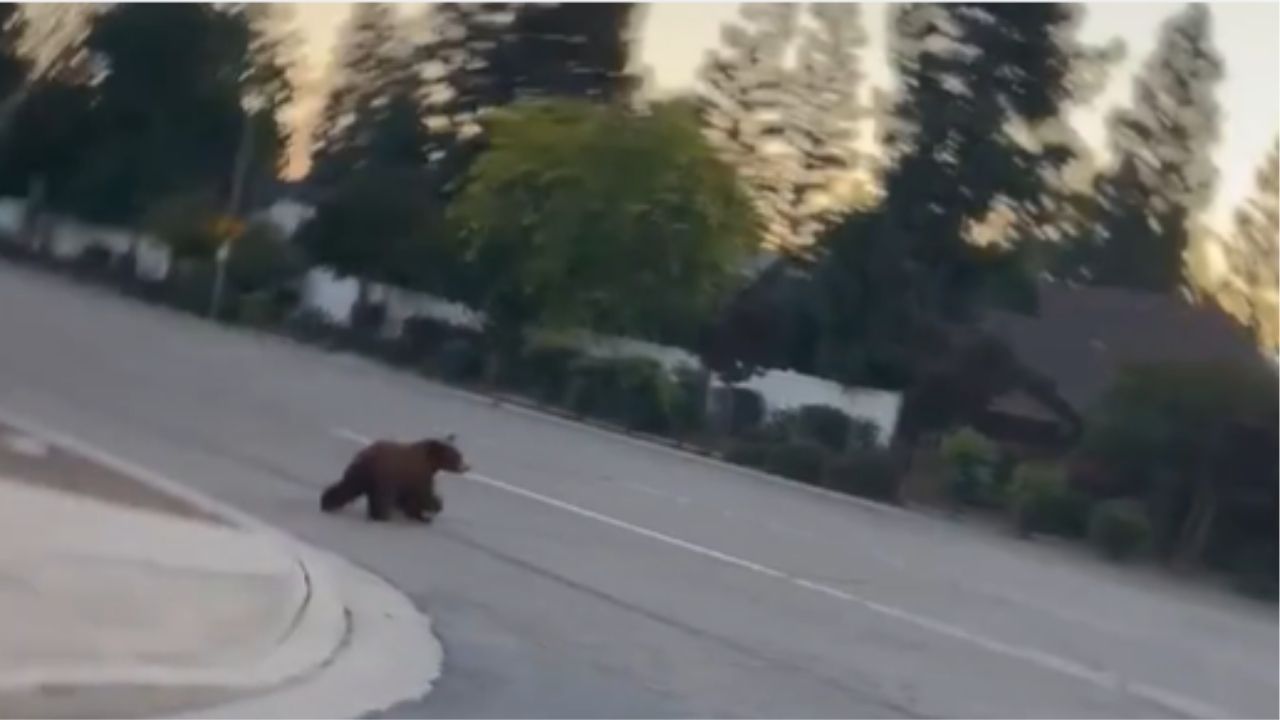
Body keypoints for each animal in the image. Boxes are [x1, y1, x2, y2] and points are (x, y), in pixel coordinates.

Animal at [320, 435, 469, 523]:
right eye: (458, 456)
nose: (468, 466)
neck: (431, 462)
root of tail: (364, 457)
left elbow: (411, 498)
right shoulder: (418, 474)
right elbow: (424, 495)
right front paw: (433, 509)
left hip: (360, 476)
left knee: (347, 487)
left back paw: (327, 502)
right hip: (383, 478)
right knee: (381, 498)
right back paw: (381, 516)